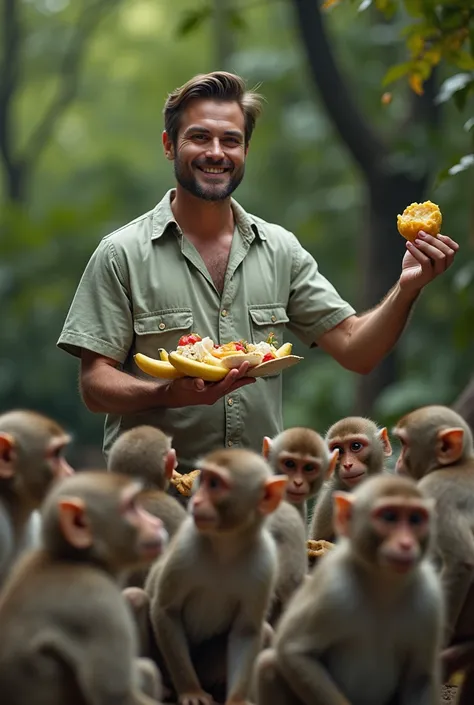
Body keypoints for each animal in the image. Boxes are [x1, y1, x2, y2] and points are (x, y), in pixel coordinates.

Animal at [144, 448, 286, 704]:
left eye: (214, 484)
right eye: (204, 480)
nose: (197, 501)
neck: (226, 545)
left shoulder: (265, 564)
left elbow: (246, 630)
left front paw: (237, 699)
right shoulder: (185, 548)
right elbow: (166, 610)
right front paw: (191, 691)